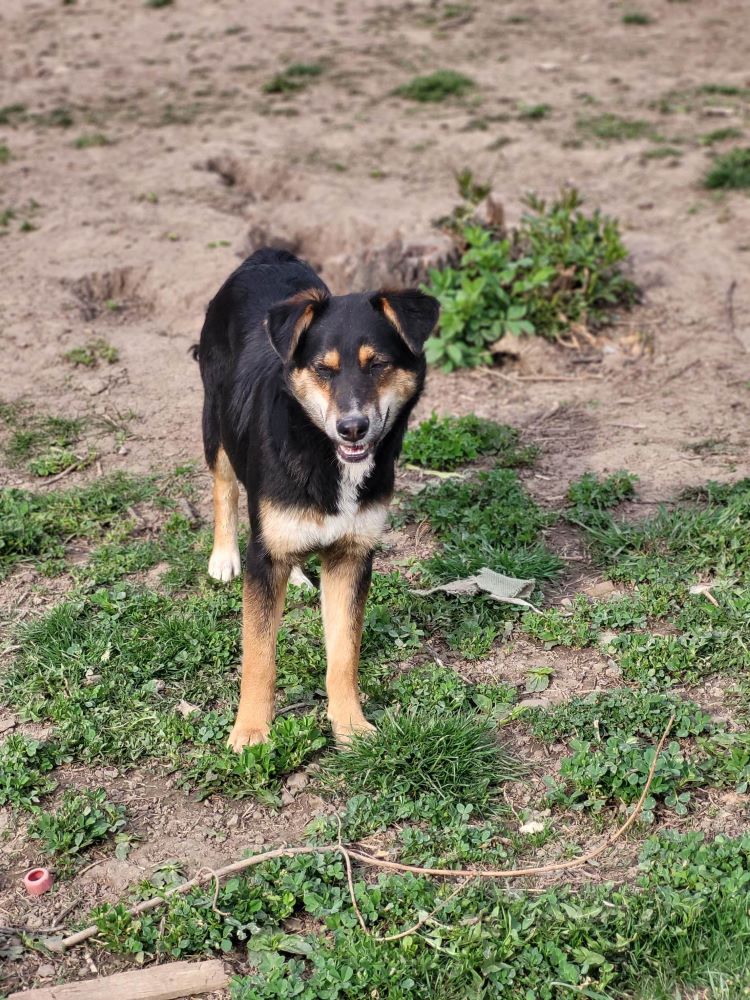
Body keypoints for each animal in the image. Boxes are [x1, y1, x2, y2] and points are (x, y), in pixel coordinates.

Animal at [194, 248, 440, 752]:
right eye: (323, 369)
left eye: (377, 364)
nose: (352, 428)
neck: (324, 452)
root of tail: (264, 255)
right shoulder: (264, 561)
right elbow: (259, 656)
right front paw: (251, 731)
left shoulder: (352, 555)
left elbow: (344, 651)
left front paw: (349, 725)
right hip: (216, 420)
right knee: (224, 485)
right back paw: (224, 556)